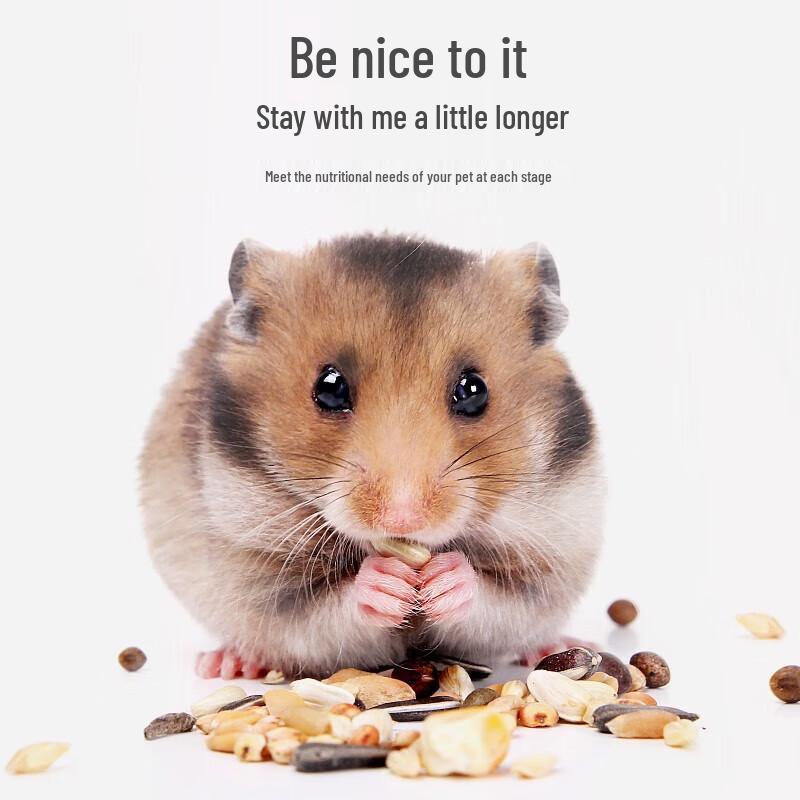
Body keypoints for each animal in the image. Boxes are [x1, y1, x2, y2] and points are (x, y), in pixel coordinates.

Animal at [139, 234, 605, 679]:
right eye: (329, 388)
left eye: (474, 391)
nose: (403, 519)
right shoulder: (259, 573)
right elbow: (327, 610)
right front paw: (387, 583)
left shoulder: (551, 552)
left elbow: (499, 600)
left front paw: (444, 579)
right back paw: (227, 664)